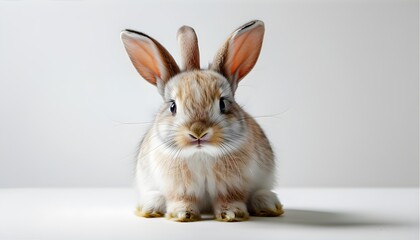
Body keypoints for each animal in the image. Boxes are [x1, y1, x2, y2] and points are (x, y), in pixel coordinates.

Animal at [121, 19, 286, 222]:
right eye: (172, 106)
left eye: (222, 103)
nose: (198, 131)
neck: (201, 154)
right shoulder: (179, 189)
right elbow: (182, 199)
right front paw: (183, 214)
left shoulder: (231, 187)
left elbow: (229, 199)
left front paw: (232, 214)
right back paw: (150, 208)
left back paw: (267, 205)